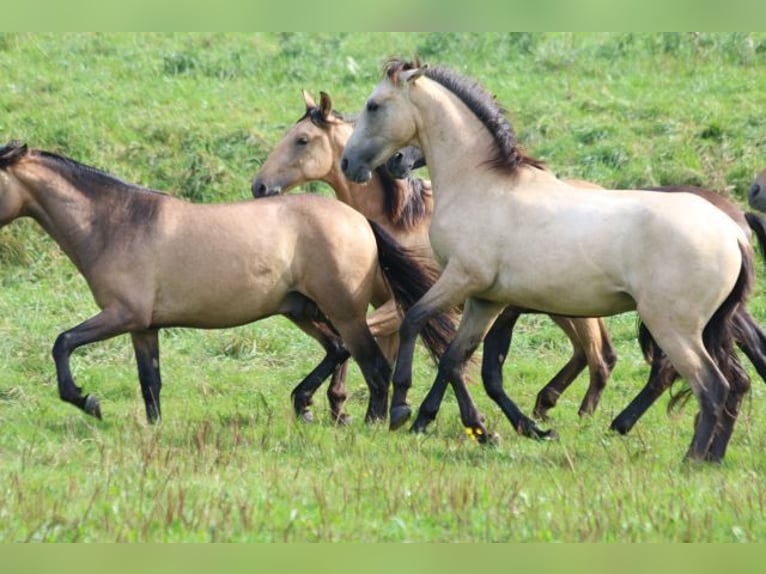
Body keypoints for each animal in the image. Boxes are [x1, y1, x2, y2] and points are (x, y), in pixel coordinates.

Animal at [252, 91, 624, 440]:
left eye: (302, 140)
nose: (260, 186)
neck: (400, 220)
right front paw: (353, 408)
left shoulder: (400, 307)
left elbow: (356, 342)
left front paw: (331, 403)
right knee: (587, 354)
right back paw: (546, 405)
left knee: (599, 357)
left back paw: (582, 416)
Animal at [342, 58, 756, 464]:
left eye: (373, 105)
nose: (349, 164)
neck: (480, 185)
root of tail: (732, 232)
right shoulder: (485, 299)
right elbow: (455, 358)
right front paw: (466, 426)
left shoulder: (461, 279)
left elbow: (414, 321)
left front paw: (402, 409)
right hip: (706, 328)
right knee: (733, 383)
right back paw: (713, 456)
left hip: (673, 327)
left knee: (711, 385)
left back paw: (690, 459)